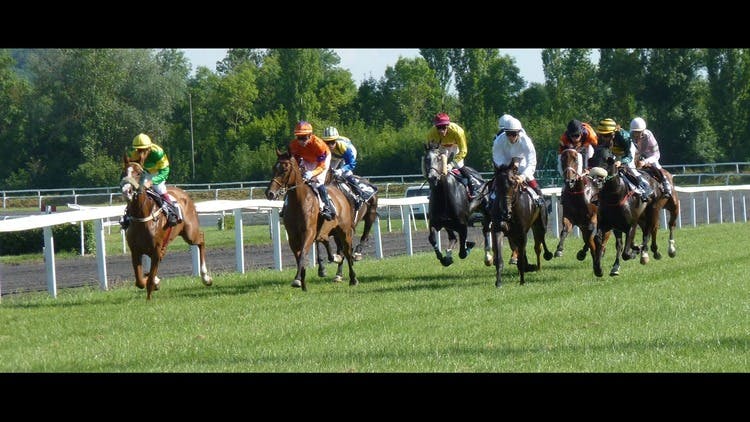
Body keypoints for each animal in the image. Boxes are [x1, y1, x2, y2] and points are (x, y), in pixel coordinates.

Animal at [120, 157, 213, 298]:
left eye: (138, 173)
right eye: (123, 173)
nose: (127, 191)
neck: (142, 216)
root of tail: (183, 192)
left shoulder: (156, 250)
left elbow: (149, 281)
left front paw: (151, 289)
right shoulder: (135, 251)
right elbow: (140, 281)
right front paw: (154, 281)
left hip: (190, 233)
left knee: (201, 239)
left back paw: (205, 277)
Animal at [264, 148, 358, 290]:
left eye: (285, 169)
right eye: (274, 168)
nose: (270, 193)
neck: (298, 202)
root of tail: (340, 193)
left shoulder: (309, 232)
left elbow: (303, 253)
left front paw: (298, 279)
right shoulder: (293, 236)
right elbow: (298, 256)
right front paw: (301, 281)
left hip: (344, 230)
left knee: (347, 251)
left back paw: (352, 278)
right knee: (326, 241)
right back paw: (333, 259)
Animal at [490, 157, 556, 288]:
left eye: (513, 183)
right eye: (496, 184)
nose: (505, 212)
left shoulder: (522, 233)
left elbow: (522, 255)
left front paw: (522, 281)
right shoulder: (498, 230)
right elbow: (499, 258)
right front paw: (498, 282)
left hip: (540, 225)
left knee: (538, 245)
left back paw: (541, 263)